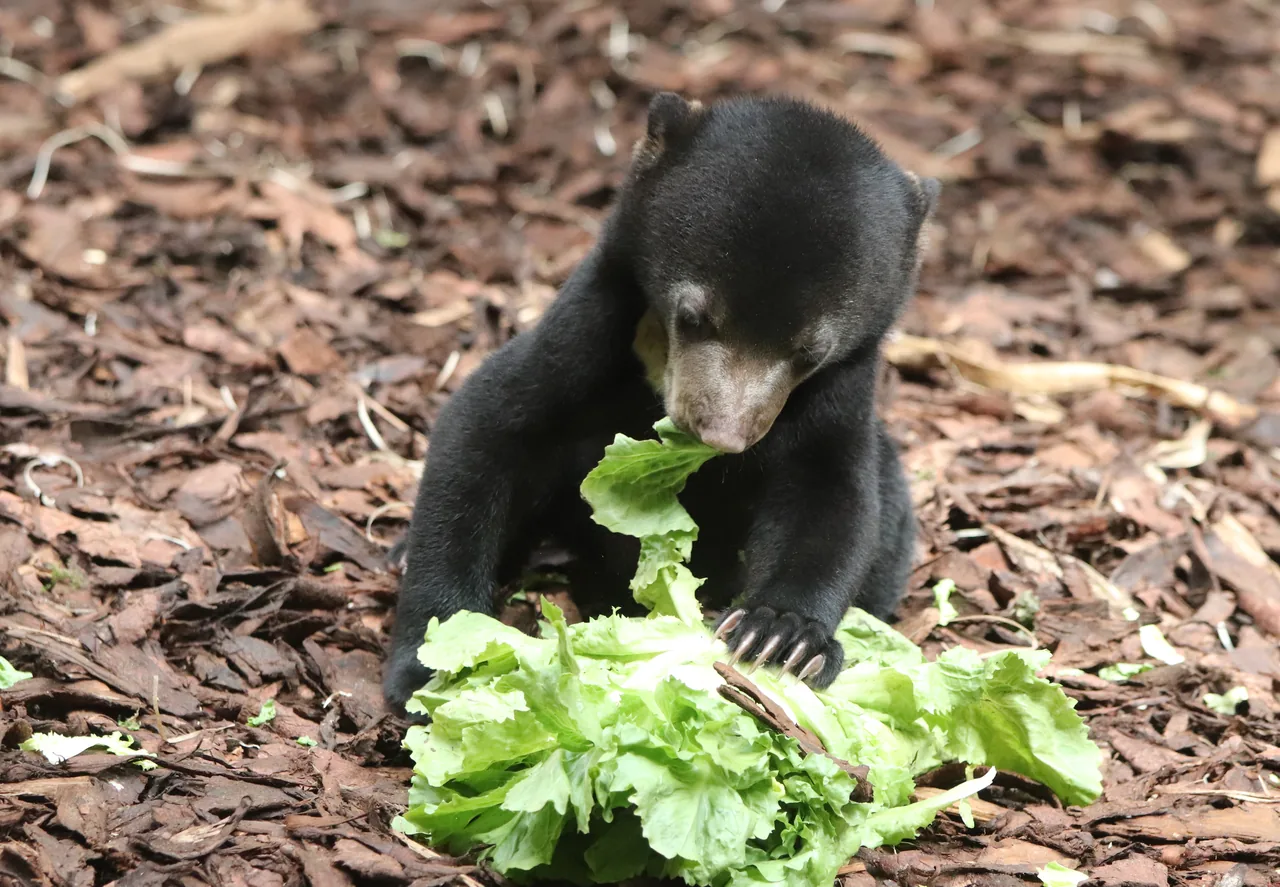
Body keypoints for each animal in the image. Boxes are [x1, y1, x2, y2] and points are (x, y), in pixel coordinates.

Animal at [382, 92, 940, 715]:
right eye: (693, 316)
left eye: (809, 352)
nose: (721, 434)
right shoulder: (583, 335)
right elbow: (486, 427)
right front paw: (440, 661)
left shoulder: (839, 396)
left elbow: (832, 499)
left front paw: (778, 637)